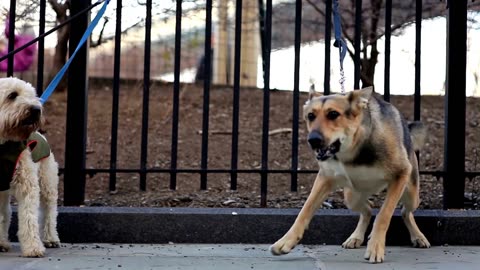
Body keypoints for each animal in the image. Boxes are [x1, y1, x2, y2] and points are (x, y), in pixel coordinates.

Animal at [0, 77, 59, 256]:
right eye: (12, 95)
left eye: (32, 95)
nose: (37, 109)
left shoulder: (27, 184)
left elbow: (29, 217)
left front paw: (33, 248)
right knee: (5, 212)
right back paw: (2, 243)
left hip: (47, 182)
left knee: (49, 212)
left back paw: (50, 238)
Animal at [270, 87, 432, 264]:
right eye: (311, 116)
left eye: (333, 114)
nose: (313, 140)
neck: (354, 148)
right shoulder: (324, 179)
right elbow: (305, 210)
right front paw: (286, 241)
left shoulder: (400, 174)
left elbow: (384, 214)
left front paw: (375, 247)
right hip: (351, 197)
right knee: (367, 209)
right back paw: (356, 237)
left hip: (411, 194)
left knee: (405, 212)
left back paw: (418, 236)